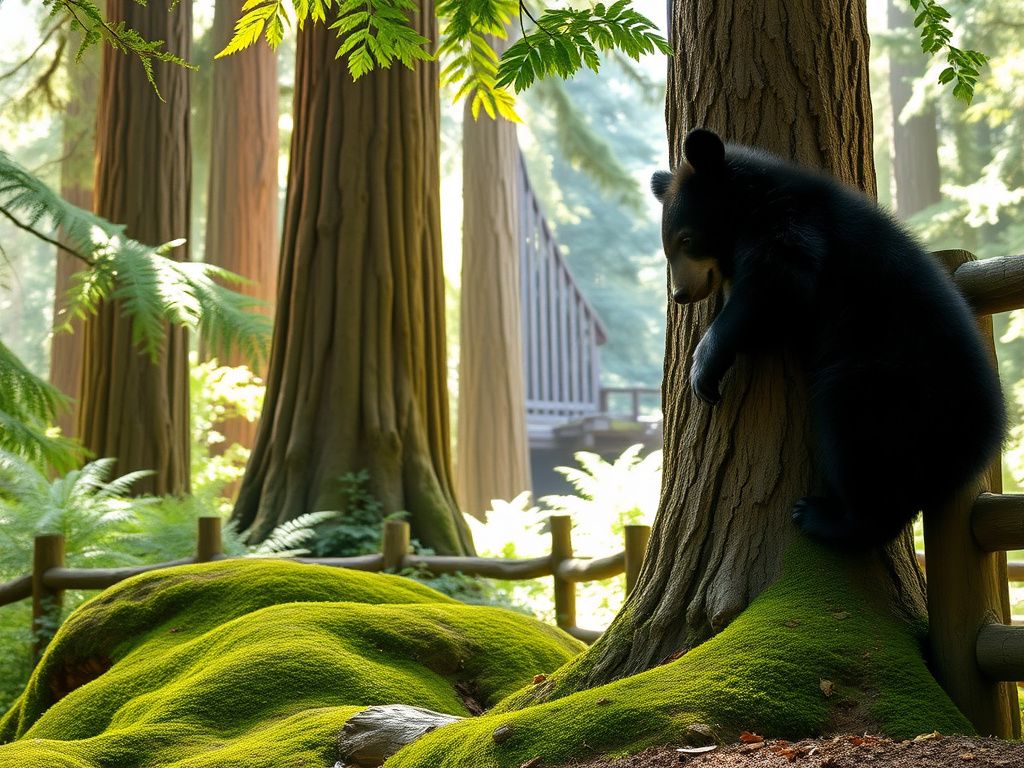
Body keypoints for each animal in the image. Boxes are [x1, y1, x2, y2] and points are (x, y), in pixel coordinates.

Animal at [650, 128, 1006, 548]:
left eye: (686, 240)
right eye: (668, 247)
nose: (680, 294)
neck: (753, 200)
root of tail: (983, 438)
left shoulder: (793, 227)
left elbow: (779, 285)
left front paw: (704, 368)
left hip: (889, 384)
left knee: (857, 440)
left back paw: (823, 517)